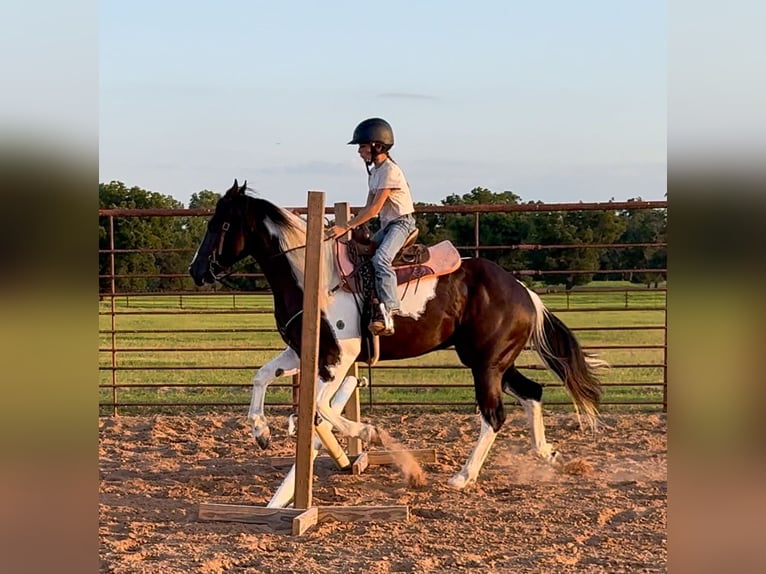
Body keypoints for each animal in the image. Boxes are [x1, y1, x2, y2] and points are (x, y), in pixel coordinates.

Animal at [189, 180, 605, 489]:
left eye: (220, 225)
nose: (197, 271)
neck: (313, 276)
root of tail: (524, 292)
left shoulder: (339, 359)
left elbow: (321, 409)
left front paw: (370, 434)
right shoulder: (305, 353)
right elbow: (261, 377)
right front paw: (260, 432)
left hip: (486, 366)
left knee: (494, 415)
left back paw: (463, 476)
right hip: (494, 361)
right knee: (532, 393)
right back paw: (547, 454)